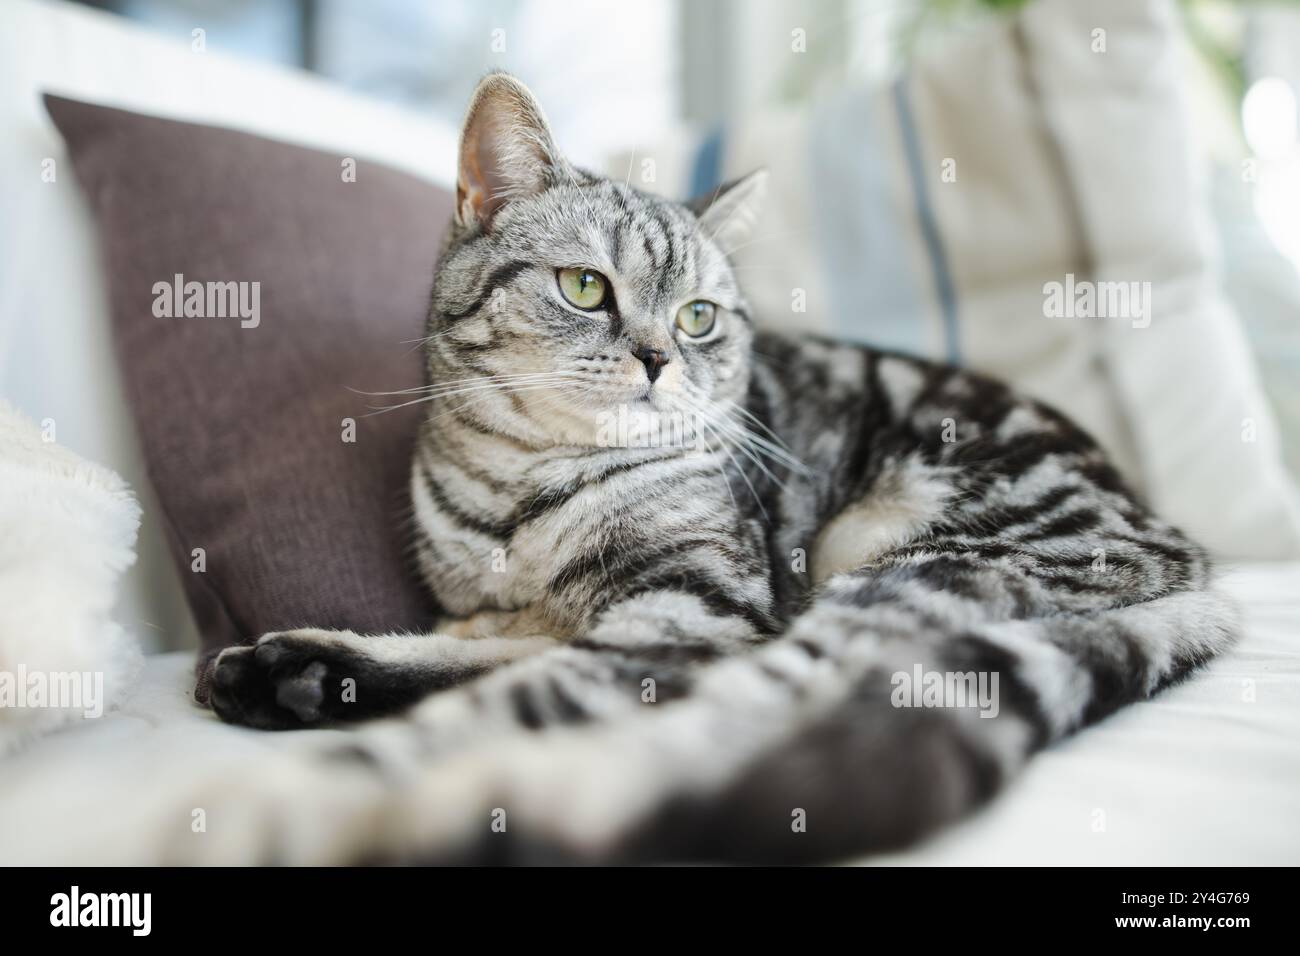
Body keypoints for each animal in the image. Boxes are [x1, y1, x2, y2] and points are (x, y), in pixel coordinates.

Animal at [205, 70, 1237, 863]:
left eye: (698, 316)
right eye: (586, 287)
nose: (660, 357)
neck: (517, 492)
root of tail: (1194, 563)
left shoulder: (702, 600)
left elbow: (527, 688)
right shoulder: (526, 612)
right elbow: (482, 650)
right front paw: (313, 668)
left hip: (903, 567)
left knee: (741, 710)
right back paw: (300, 677)